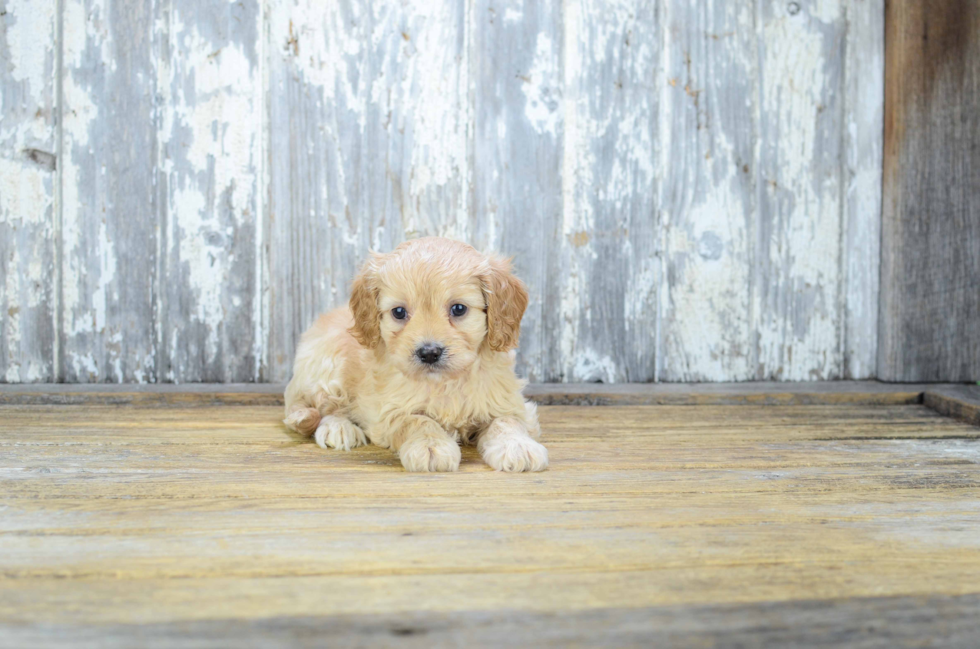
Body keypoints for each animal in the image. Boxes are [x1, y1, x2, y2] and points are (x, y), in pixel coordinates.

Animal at [280, 237, 548, 470]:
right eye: (399, 312)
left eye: (458, 309)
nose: (429, 353)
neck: (444, 382)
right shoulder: (388, 412)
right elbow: (417, 421)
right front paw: (431, 446)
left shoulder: (509, 401)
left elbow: (507, 420)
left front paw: (517, 446)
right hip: (327, 366)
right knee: (313, 405)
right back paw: (334, 427)